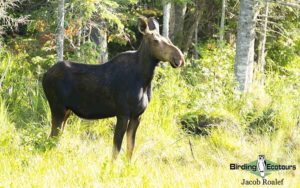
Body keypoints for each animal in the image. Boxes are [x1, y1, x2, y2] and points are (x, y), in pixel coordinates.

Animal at [41, 17, 184, 160]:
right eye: (155, 41)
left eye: (168, 40)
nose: (180, 58)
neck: (144, 81)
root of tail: (45, 75)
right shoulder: (123, 113)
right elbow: (116, 149)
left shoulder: (137, 116)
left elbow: (130, 149)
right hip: (57, 108)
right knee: (51, 138)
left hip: (67, 111)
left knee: (55, 139)